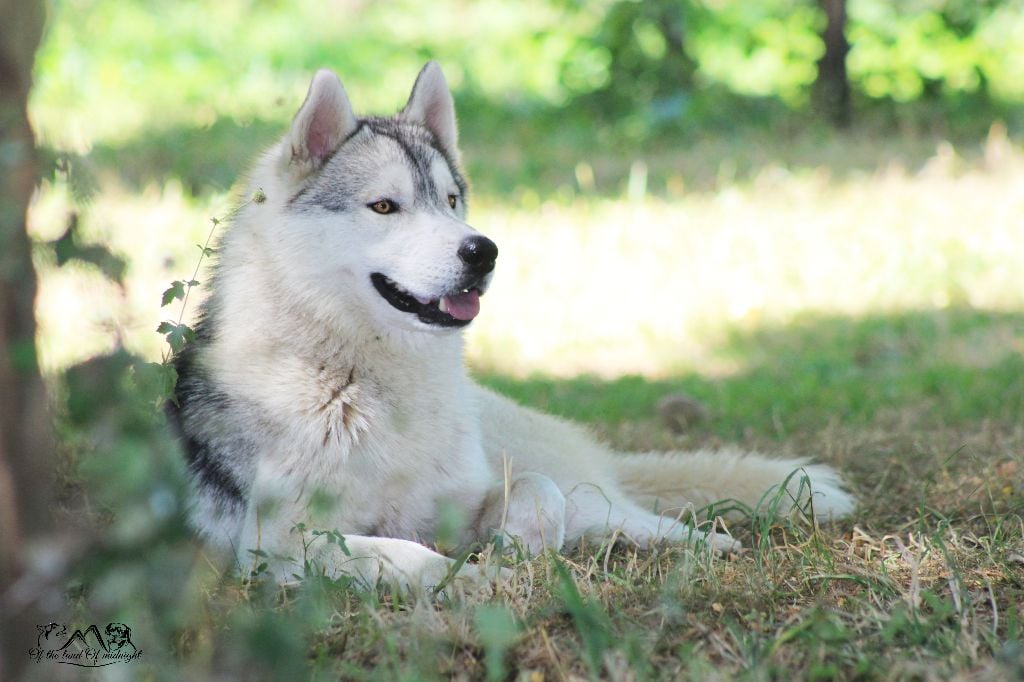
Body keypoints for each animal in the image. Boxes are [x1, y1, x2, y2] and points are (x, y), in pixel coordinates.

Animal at [169, 65, 856, 593]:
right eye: (385, 206)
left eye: (451, 201)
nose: (483, 251)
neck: (368, 386)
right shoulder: (280, 548)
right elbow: (405, 554)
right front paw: (474, 576)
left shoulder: (469, 496)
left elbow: (536, 493)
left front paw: (519, 547)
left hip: (571, 480)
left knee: (607, 505)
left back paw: (694, 542)